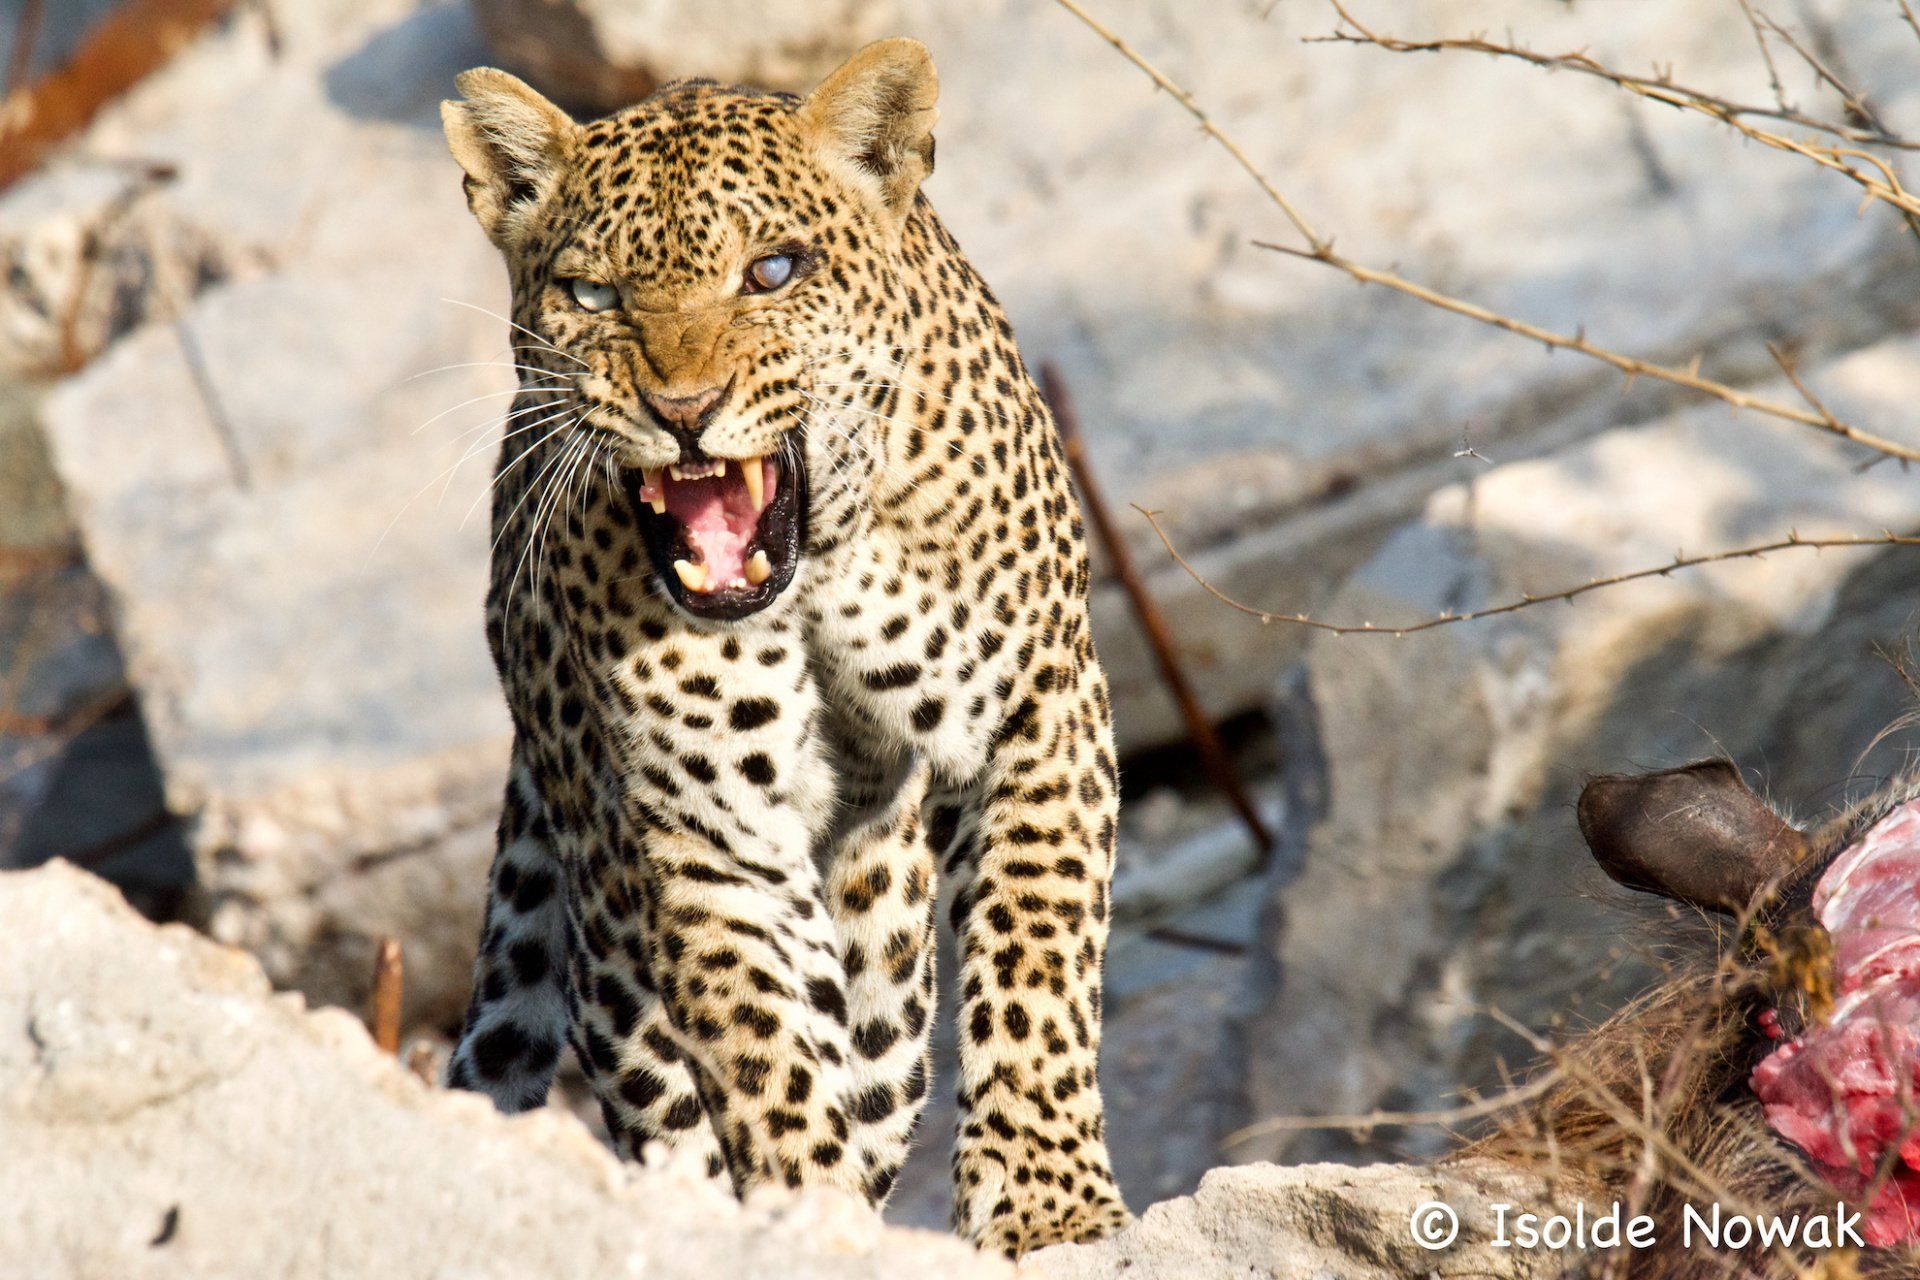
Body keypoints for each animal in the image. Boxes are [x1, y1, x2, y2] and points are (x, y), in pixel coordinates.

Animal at [435, 38, 1131, 1256]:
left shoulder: (1041, 710)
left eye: (772, 271)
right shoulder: (709, 830)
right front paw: (808, 1214)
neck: (815, 576)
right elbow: (765, 1054)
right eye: (593, 293)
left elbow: (1033, 959)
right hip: (611, 921)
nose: (684, 408)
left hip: (889, 952)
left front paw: (1048, 1201)